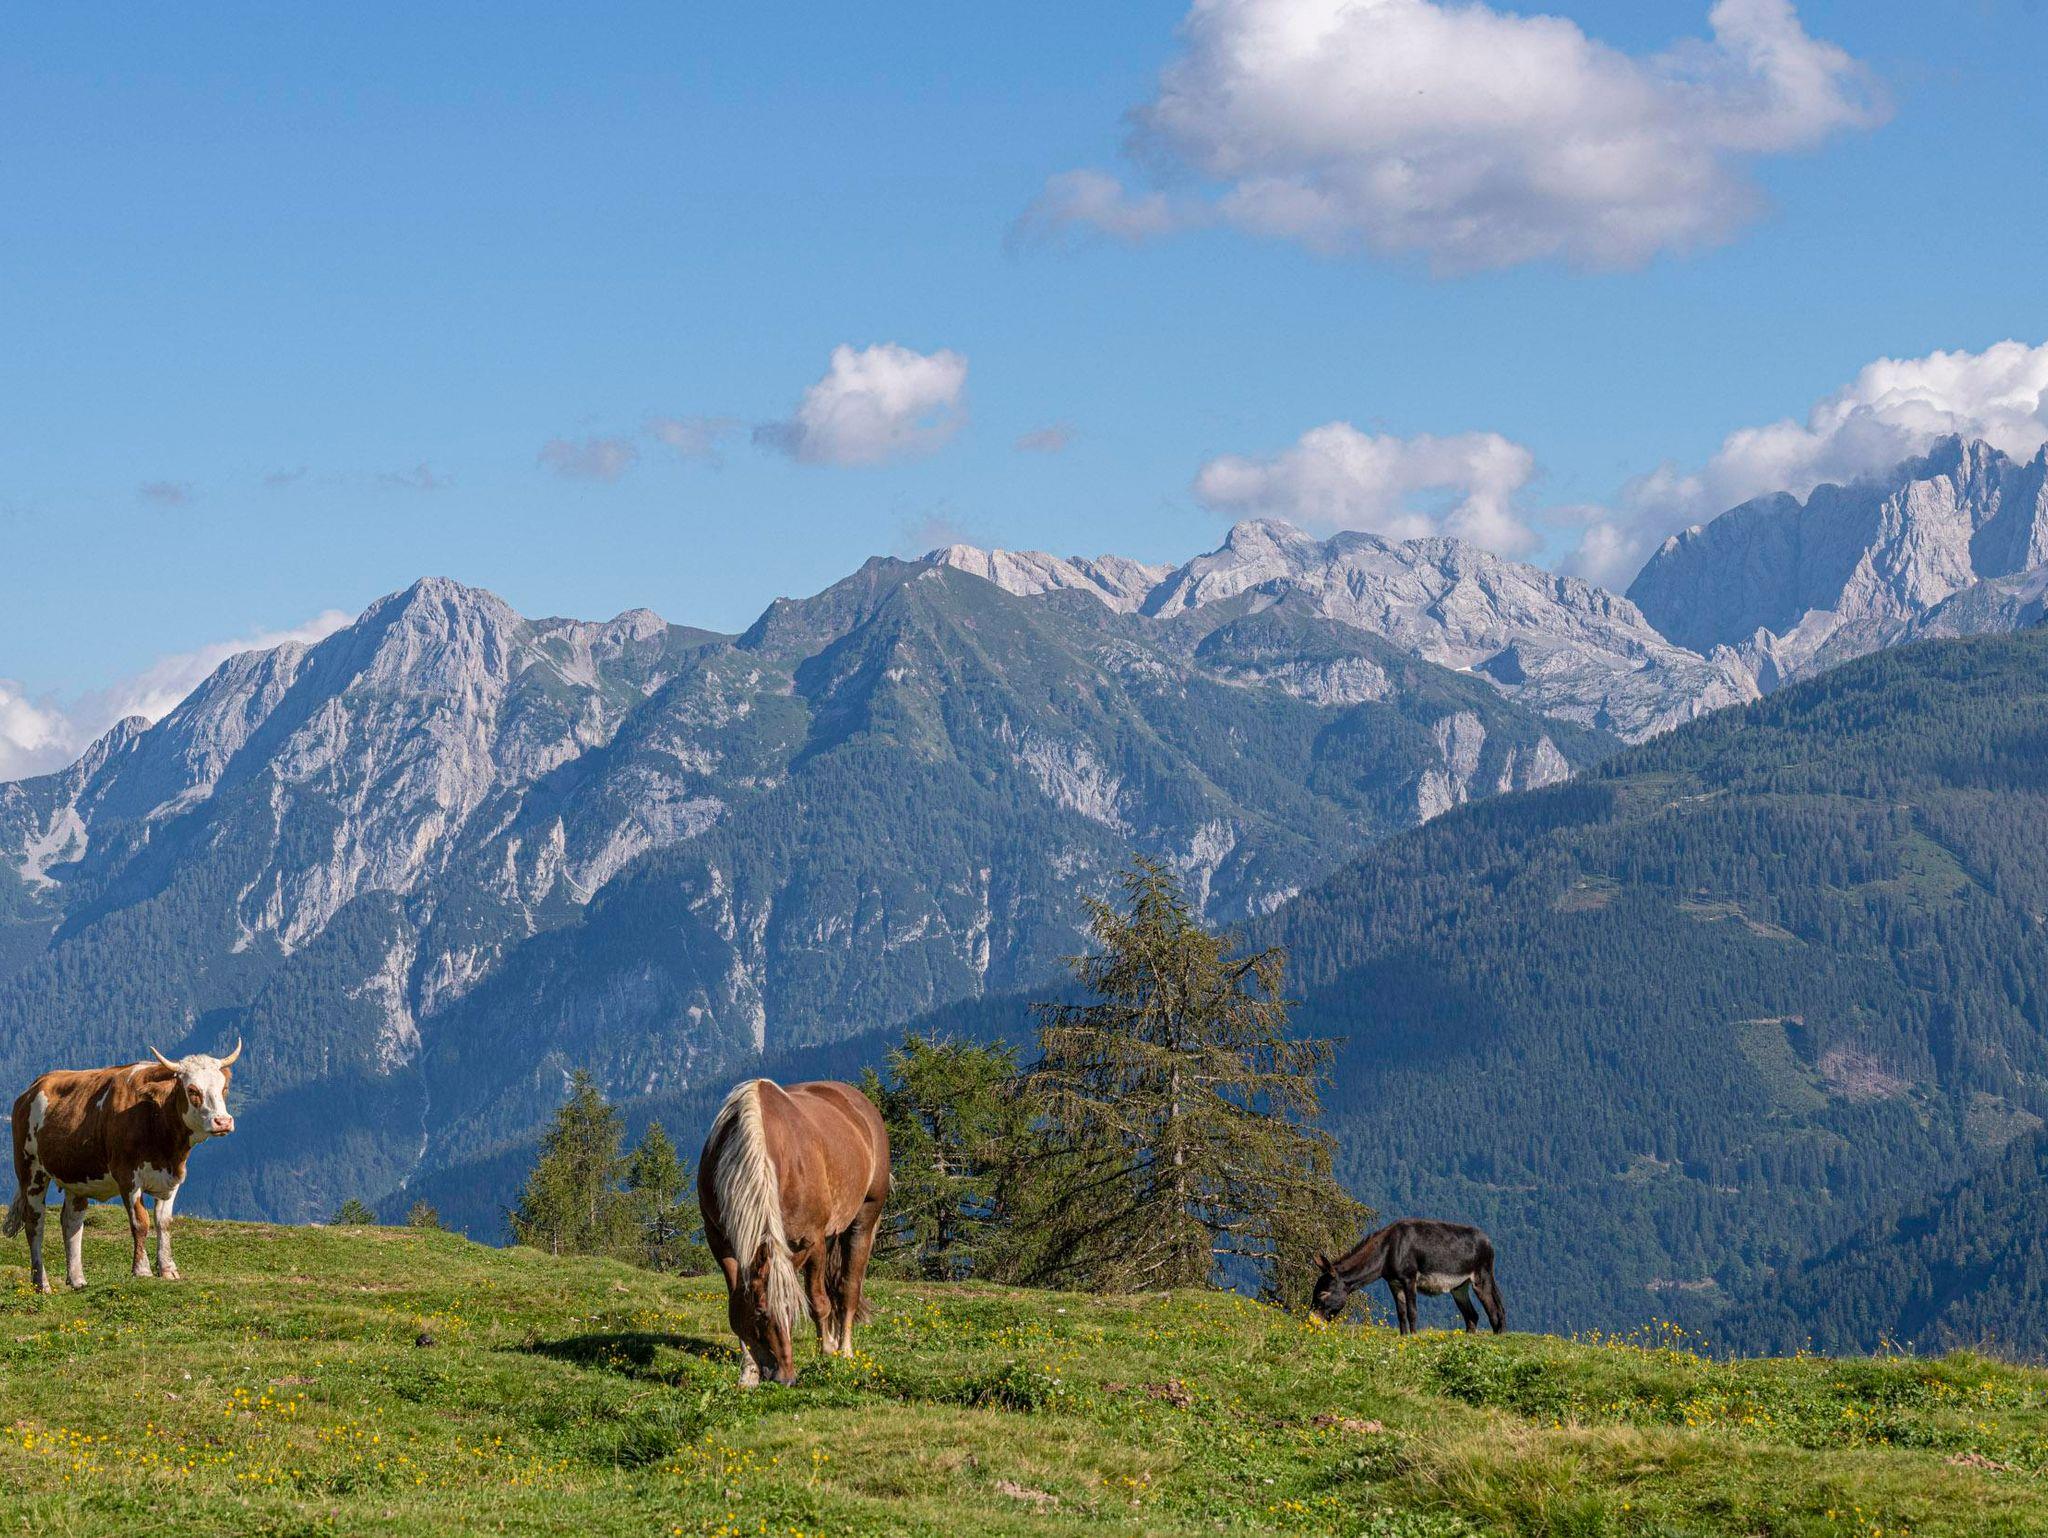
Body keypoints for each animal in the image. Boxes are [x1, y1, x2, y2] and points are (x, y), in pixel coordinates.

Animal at [4, 1043, 241, 1293]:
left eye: (224, 1088)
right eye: (193, 1090)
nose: (223, 1122)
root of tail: (32, 1088)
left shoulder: (172, 1178)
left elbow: (164, 1223)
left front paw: (168, 1270)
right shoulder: (128, 1177)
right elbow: (140, 1222)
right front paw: (142, 1270)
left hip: (76, 1176)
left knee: (71, 1221)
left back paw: (77, 1280)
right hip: (30, 1170)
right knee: (35, 1223)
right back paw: (42, 1283)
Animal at [697, 1077, 890, 1387]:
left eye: (791, 1310)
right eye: (761, 1312)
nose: (786, 1377)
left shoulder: (813, 1240)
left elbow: (819, 1303)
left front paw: (827, 1352)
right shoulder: (720, 1241)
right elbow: (736, 1305)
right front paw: (748, 1371)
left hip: (864, 1219)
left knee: (847, 1289)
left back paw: (844, 1350)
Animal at [1311, 1218, 1506, 1335]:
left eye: (1323, 1294)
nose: (1312, 1323)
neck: (1388, 1249)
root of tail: (1488, 1242)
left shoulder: (1410, 1279)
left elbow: (1412, 1311)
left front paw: (1413, 1336)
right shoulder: (1394, 1283)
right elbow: (1401, 1312)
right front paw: (1403, 1336)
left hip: (1481, 1278)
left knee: (1495, 1310)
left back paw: (1499, 1336)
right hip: (1459, 1287)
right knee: (1472, 1316)